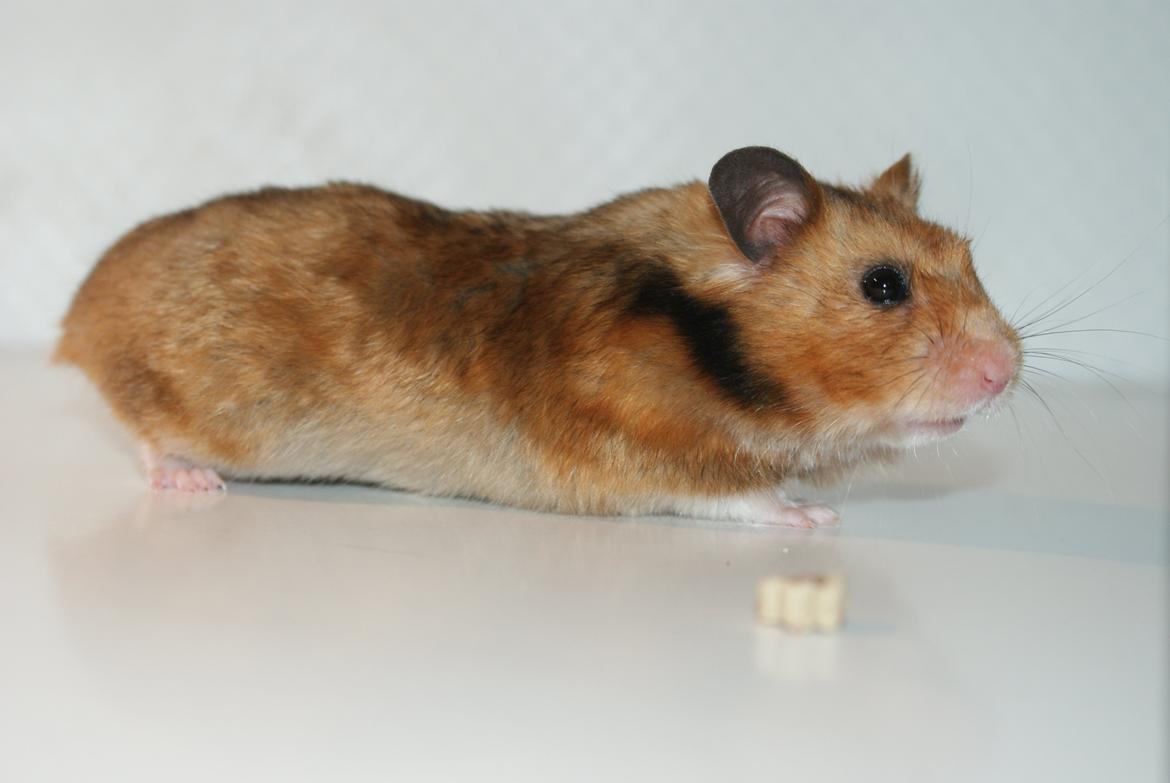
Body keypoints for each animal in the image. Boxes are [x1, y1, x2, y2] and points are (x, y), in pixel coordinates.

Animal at [55, 146, 1020, 527]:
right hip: (212, 414)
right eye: (883, 285)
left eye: (969, 258)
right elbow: (743, 496)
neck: (699, 346)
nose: (1007, 372)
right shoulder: (642, 456)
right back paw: (190, 481)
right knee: (146, 436)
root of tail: (78, 313)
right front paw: (816, 516)